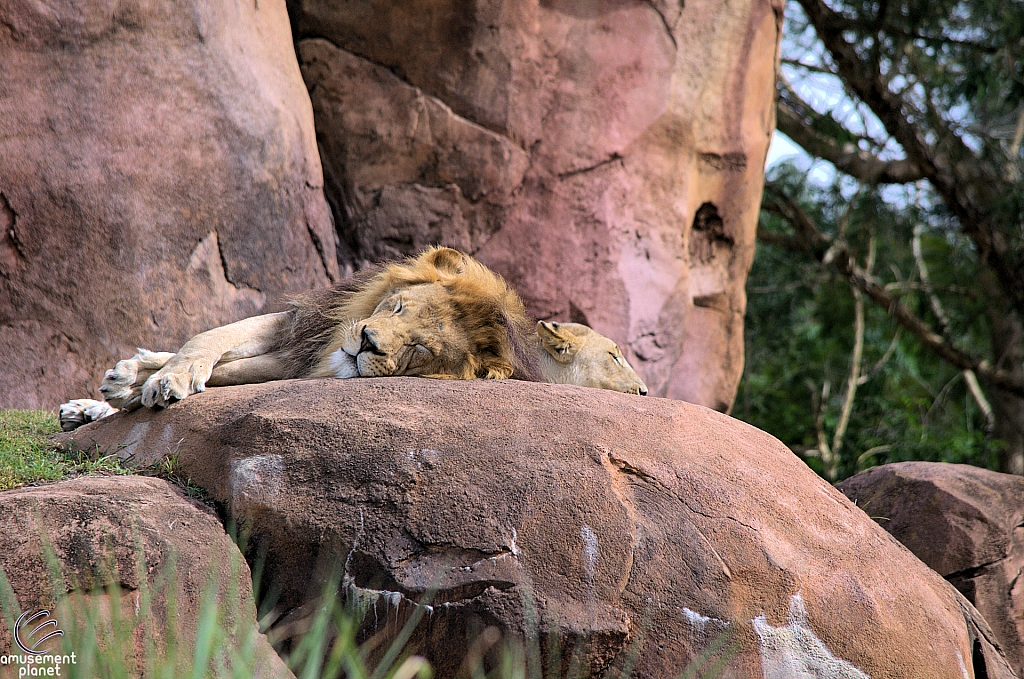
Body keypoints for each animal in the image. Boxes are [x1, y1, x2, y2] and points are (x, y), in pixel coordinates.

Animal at [58, 246, 647, 432]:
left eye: (419, 349)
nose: (364, 341)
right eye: (398, 306)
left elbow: (227, 370)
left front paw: (146, 384)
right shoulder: (308, 330)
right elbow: (209, 337)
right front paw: (153, 378)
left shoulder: (305, 360)